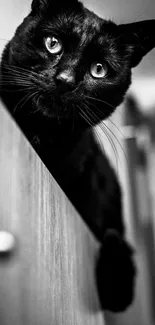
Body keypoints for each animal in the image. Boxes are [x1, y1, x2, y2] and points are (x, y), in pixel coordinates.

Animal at [0, 0, 154, 312]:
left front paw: (117, 286)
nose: (65, 80)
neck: (41, 136)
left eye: (99, 69)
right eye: (53, 44)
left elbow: (114, 233)